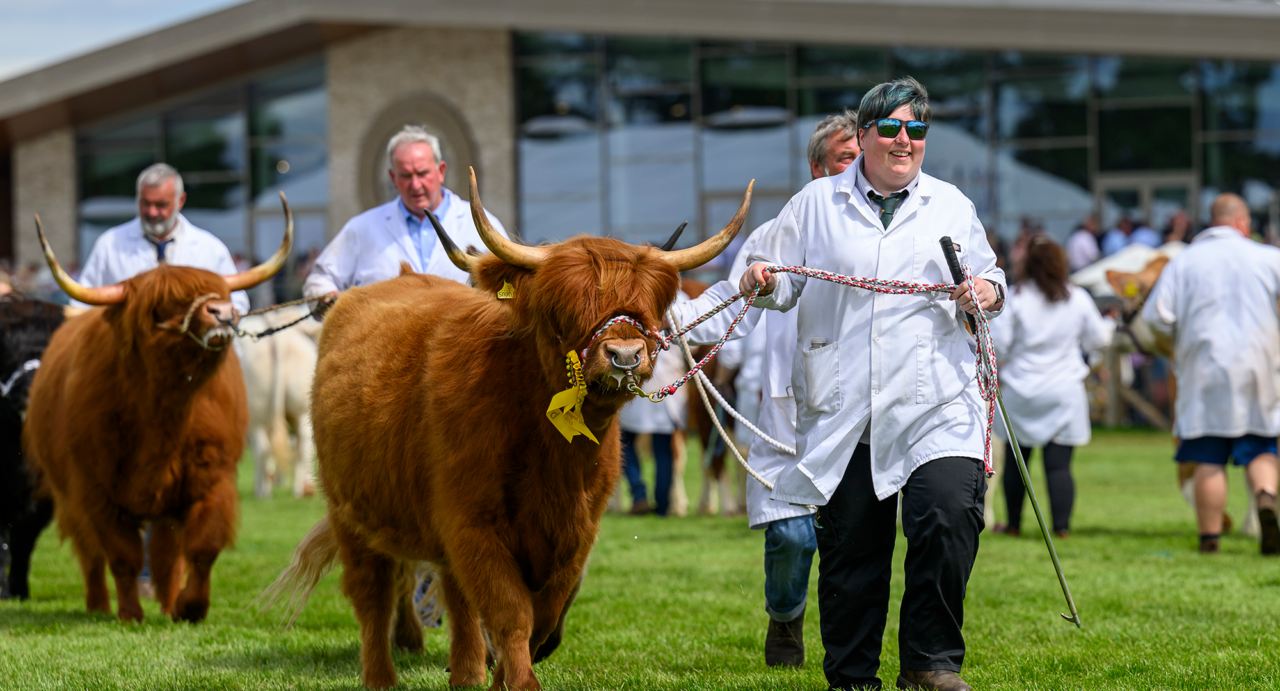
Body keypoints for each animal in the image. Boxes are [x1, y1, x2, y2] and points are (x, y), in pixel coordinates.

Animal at [23, 197, 293, 622]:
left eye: (221, 291)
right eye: (164, 305)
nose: (223, 313)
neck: (165, 411)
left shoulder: (211, 480)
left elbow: (201, 549)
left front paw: (188, 608)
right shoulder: (94, 490)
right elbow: (122, 556)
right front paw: (130, 612)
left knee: (167, 555)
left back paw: (166, 603)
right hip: (68, 492)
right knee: (90, 551)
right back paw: (98, 604)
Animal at [238, 305, 321, 499]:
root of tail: (281, 339)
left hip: (258, 416)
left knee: (265, 449)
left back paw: (265, 492)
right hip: (299, 411)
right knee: (300, 447)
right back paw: (299, 490)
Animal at [259, 170, 751, 690]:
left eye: (647, 307)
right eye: (563, 308)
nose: (623, 355)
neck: (550, 452)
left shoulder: (575, 533)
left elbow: (542, 616)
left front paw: (500, 676)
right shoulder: (473, 523)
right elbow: (510, 611)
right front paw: (520, 681)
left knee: (453, 595)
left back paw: (466, 672)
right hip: (350, 511)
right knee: (374, 593)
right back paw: (381, 676)